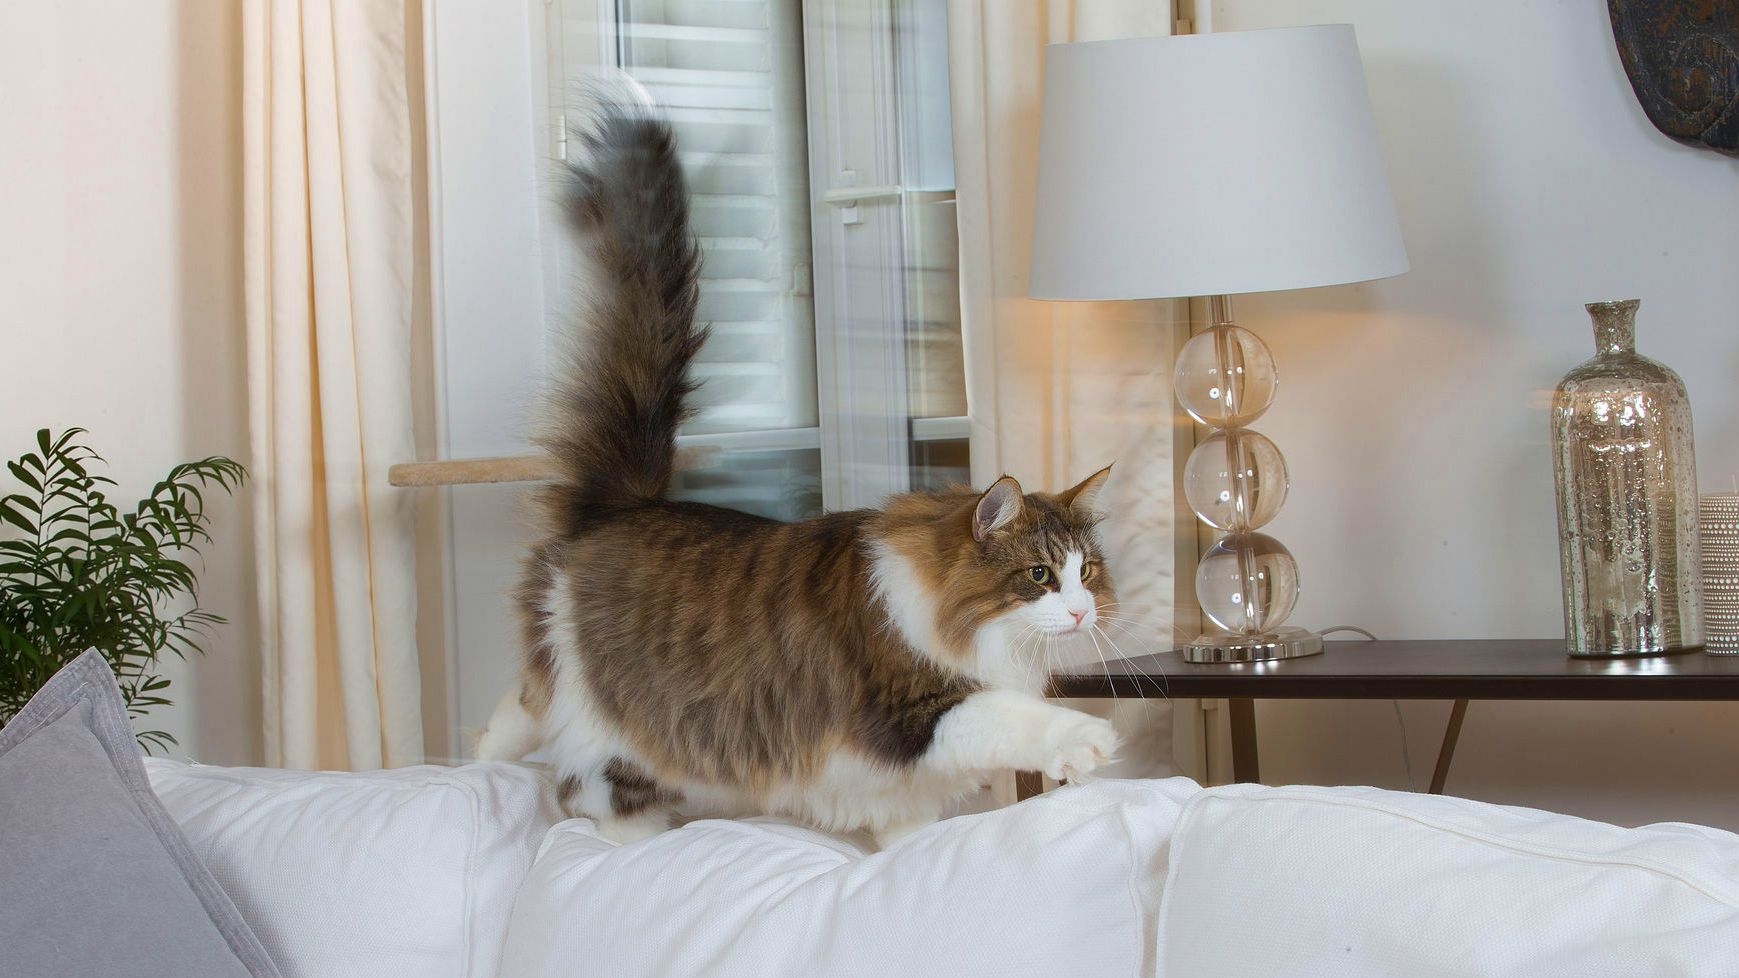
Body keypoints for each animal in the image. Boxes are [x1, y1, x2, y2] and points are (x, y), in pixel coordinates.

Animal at [479, 85, 1112, 845]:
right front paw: (1085, 742)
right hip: (611, 728)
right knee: (591, 787)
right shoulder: (911, 710)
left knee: (515, 709)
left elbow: (911, 838)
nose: (1080, 612)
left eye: (1089, 572)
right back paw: (633, 838)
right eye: (1041, 576)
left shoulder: (903, 789)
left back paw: (473, 766)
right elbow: (1012, 718)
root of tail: (623, 505)